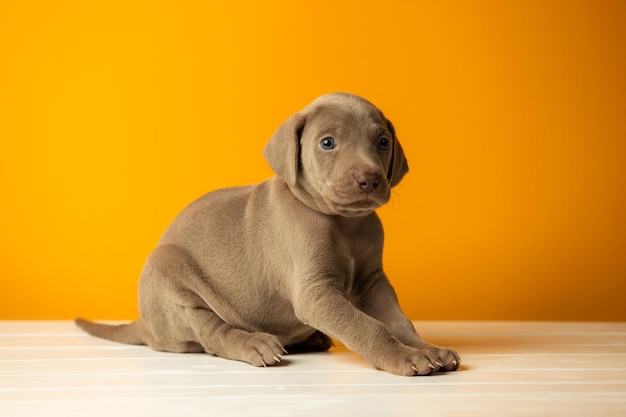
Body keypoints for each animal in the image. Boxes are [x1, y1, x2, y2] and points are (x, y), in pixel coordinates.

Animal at [77, 92, 458, 376]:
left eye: (381, 142)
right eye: (327, 143)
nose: (369, 179)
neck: (344, 222)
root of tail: (146, 324)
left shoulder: (373, 283)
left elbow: (398, 321)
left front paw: (427, 348)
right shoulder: (316, 293)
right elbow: (368, 326)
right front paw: (404, 357)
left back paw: (311, 339)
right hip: (169, 271)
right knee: (212, 335)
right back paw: (254, 344)